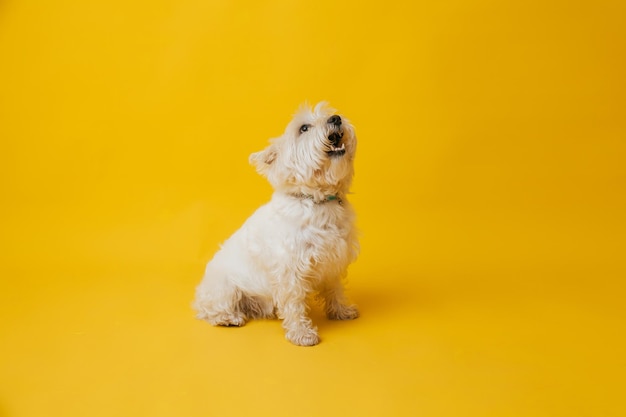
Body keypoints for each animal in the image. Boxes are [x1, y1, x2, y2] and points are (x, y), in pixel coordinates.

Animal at [193, 101, 358, 344]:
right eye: (304, 128)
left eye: (330, 114)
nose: (336, 118)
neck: (317, 200)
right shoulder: (290, 269)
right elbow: (294, 304)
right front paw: (301, 333)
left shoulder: (333, 258)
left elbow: (334, 289)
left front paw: (341, 311)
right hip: (224, 288)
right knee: (209, 309)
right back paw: (229, 317)